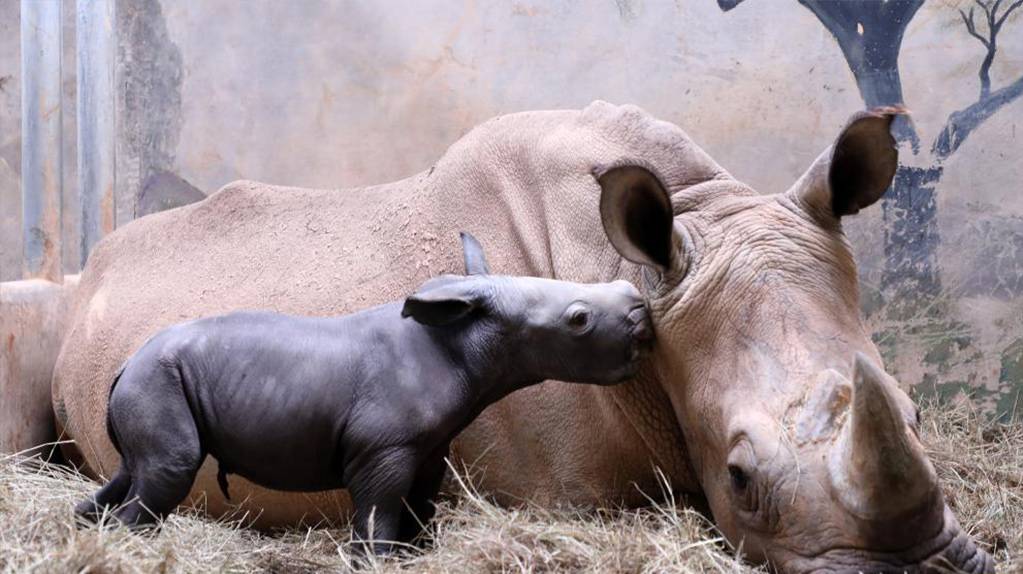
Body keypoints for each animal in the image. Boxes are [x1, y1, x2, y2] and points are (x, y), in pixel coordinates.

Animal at [74, 230, 654, 552]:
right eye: (578, 320)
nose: (640, 310)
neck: (465, 340)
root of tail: (124, 365)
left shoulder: (428, 447)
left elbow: (419, 508)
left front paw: (416, 555)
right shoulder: (382, 448)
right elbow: (379, 512)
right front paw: (375, 558)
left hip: (150, 380)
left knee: (135, 470)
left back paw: (87, 530)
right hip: (157, 380)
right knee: (168, 471)